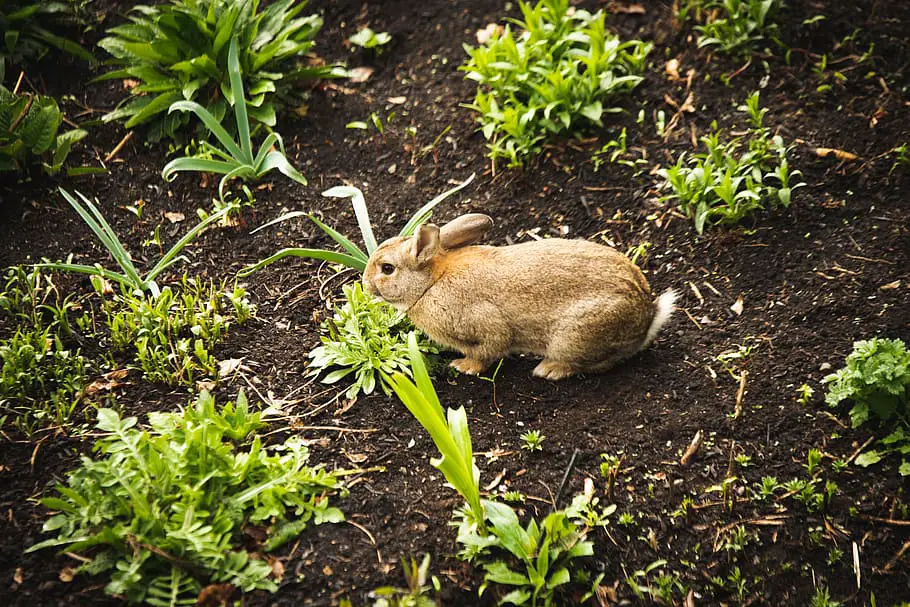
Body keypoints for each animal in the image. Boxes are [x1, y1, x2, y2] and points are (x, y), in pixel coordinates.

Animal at [364, 214, 676, 380]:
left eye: (387, 268)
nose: (365, 284)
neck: (431, 282)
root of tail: (647, 317)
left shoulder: (486, 323)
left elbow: (489, 348)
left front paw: (463, 367)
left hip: (576, 335)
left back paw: (547, 370)